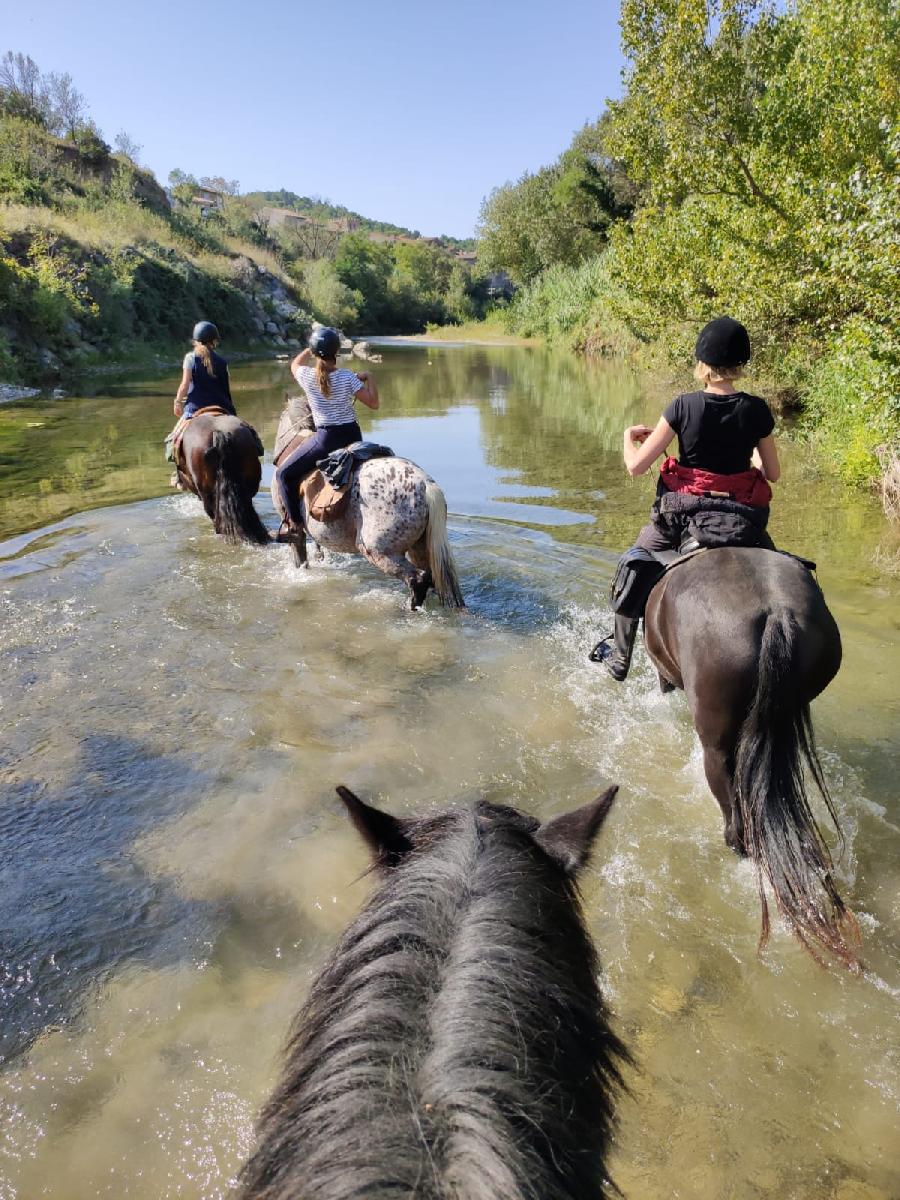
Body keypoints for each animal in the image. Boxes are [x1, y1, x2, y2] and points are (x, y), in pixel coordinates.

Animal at [270, 396, 465, 609]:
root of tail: (425, 485)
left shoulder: (296, 532)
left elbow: (300, 558)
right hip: (419, 547)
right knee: (428, 577)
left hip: (377, 550)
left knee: (417, 579)